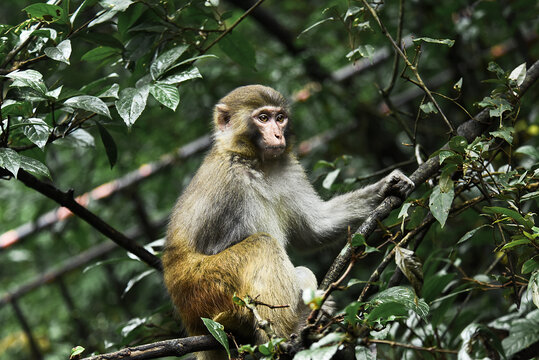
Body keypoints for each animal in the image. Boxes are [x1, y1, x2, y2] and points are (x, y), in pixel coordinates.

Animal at [162, 83, 416, 358]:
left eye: (280, 118)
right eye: (263, 118)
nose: (277, 135)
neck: (257, 163)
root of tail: (191, 322)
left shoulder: (288, 168)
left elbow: (314, 230)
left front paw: (388, 185)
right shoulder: (229, 185)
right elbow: (213, 247)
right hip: (204, 294)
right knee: (262, 244)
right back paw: (287, 332)